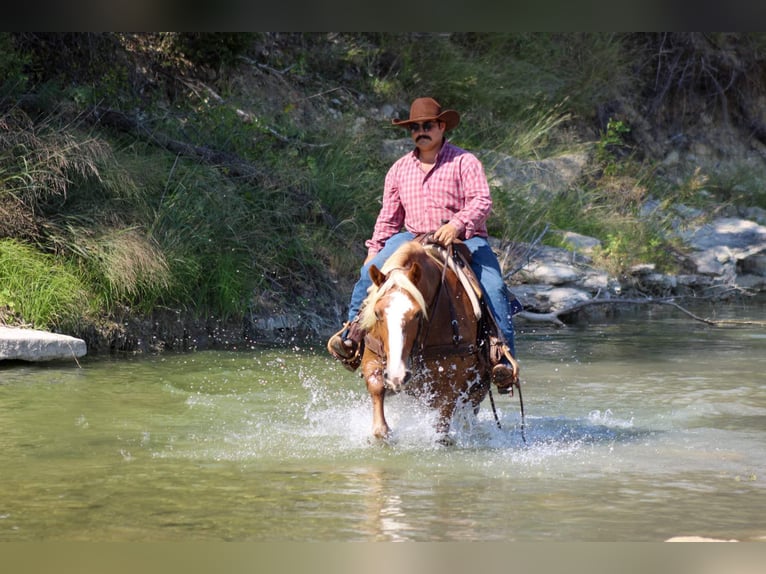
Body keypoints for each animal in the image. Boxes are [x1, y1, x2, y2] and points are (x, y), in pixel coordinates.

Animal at [360, 238, 510, 446]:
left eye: (417, 314)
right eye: (377, 313)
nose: (398, 375)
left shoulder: (452, 382)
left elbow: (442, 430)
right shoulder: (373, 357)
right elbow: (377, 399)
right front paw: (384, 434)